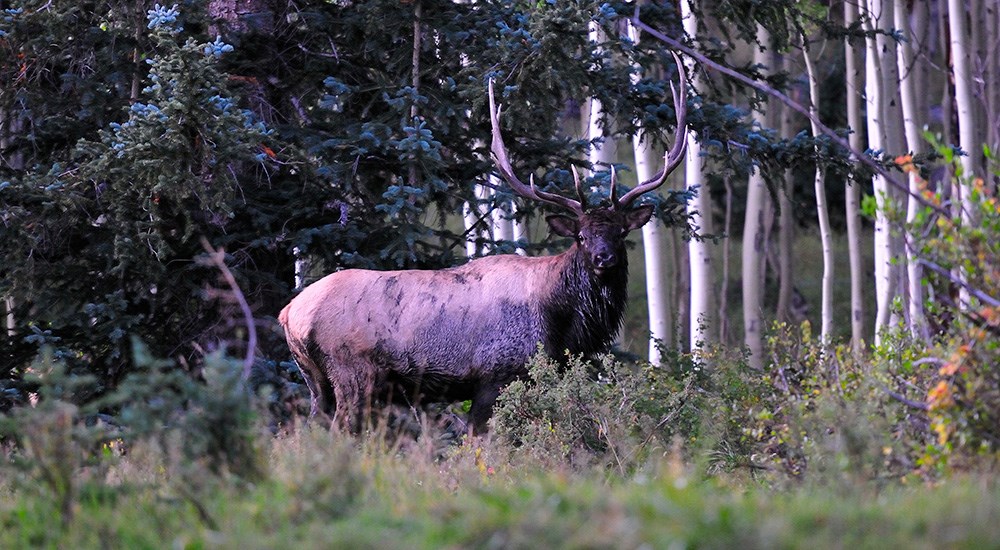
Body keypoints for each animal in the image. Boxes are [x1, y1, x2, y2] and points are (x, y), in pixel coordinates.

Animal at [282, 56, 688, 436]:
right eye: (581, 236)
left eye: (620, 232)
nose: (604, 258)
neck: (562, 325)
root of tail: (289, 314)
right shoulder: (497, 374)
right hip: (352, 373)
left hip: (316, 381)